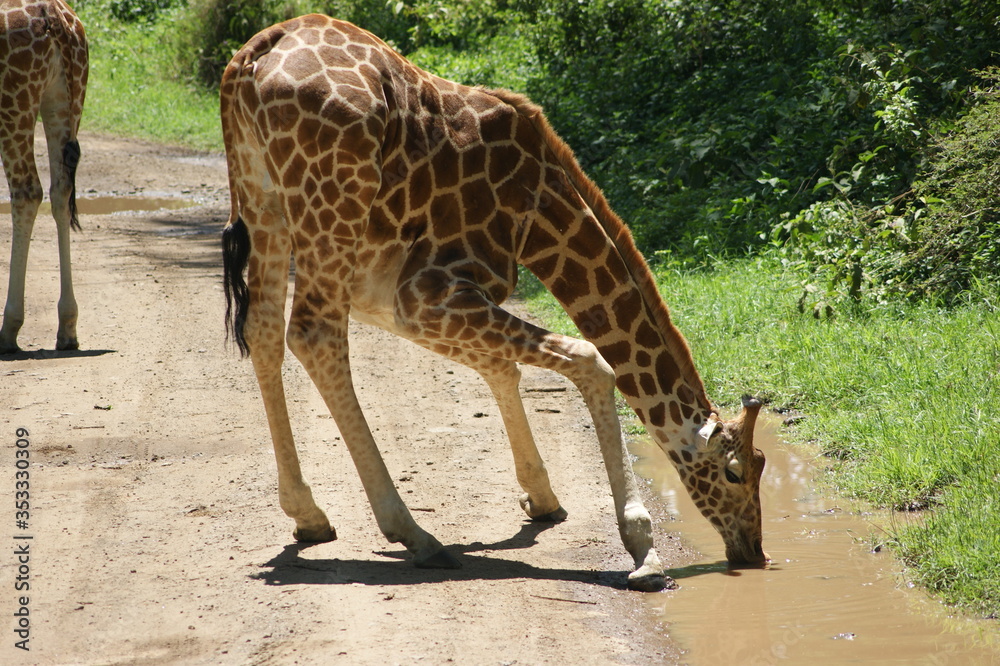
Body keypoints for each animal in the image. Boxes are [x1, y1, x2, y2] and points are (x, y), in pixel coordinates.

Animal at [220, 14, 768, 591]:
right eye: (734, 473)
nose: (753, 550)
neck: (541, 209)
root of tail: (252, 58)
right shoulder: (428, 292)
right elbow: (592, 361)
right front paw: (643, 548)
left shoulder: (392, 301)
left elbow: (503, 367)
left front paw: (542, 498)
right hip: (330, 215)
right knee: (312, 334)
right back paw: (415, 534)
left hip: (264, 202)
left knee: (263, 331)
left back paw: (309, 515)